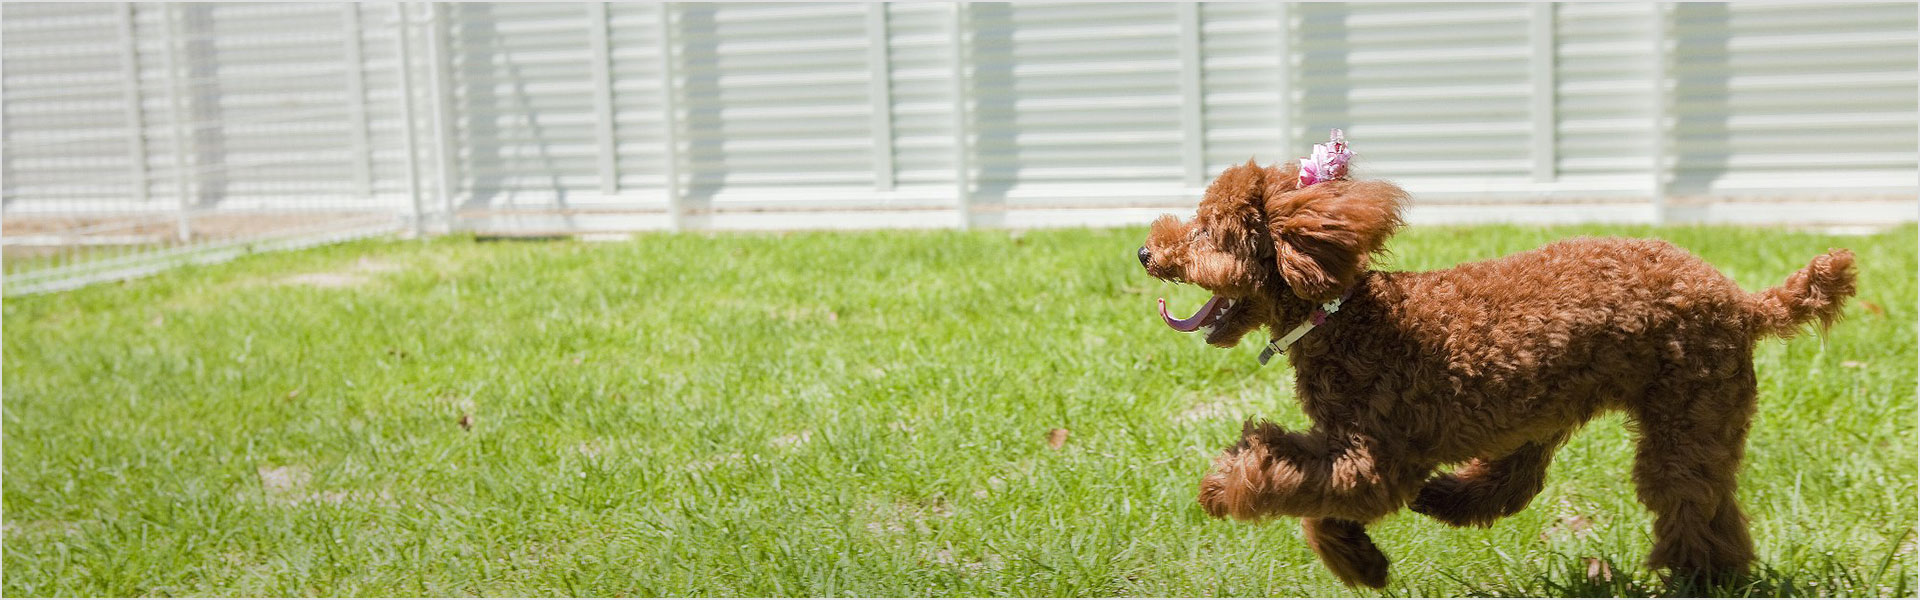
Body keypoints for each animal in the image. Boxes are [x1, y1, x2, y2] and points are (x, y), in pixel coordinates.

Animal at [1136, 158, 1858, 584]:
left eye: (1209, 231)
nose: (1145, 252)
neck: (1343, 313)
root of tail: (1742, 300)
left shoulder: (1371, 458)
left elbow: (1280, 471)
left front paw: (1220, 487)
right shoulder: (1352, 450)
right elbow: (1317, 505)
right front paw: (1362, 564)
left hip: (1687, 412)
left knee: (1686, 505)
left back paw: (1697, 580)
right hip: (1557, 410)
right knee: (1529, 484)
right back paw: (1446, 499)